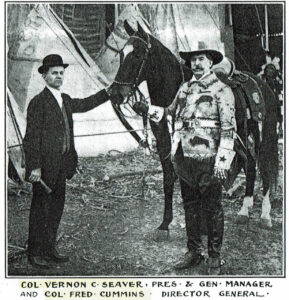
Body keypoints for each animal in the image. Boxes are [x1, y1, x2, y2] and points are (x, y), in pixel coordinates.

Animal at [109, 21, 278, 237]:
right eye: (122, 54)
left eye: (137, 54)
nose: (114, 93)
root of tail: (264, 85)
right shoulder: (165, 142)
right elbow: (169, 178)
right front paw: (165, 224)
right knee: (250, 165)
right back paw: (244, 210)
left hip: (265, 137)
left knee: (265, 170)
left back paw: (265, 215)